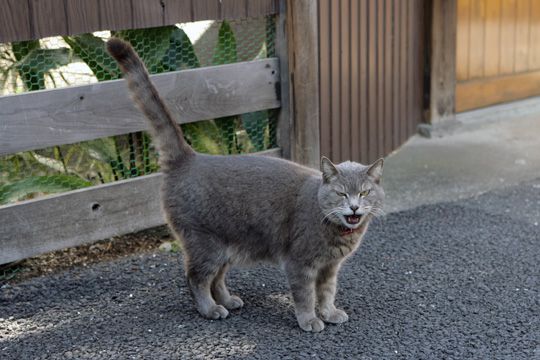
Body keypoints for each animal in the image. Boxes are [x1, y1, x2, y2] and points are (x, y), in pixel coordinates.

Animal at [106, 37, 384, 332]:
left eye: (364, 192)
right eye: (341, 194)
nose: (354, 207)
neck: (338, 235)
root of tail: (190, 157)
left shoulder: (330, 268)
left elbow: (327, 292)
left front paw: (329, 313)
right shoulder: (301, 264)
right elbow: (306, 295)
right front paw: (309, 320)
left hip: (227, 245)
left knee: (217, 279)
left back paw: (228, 301)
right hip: (205, 243)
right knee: (196, 278)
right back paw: (210, 309)